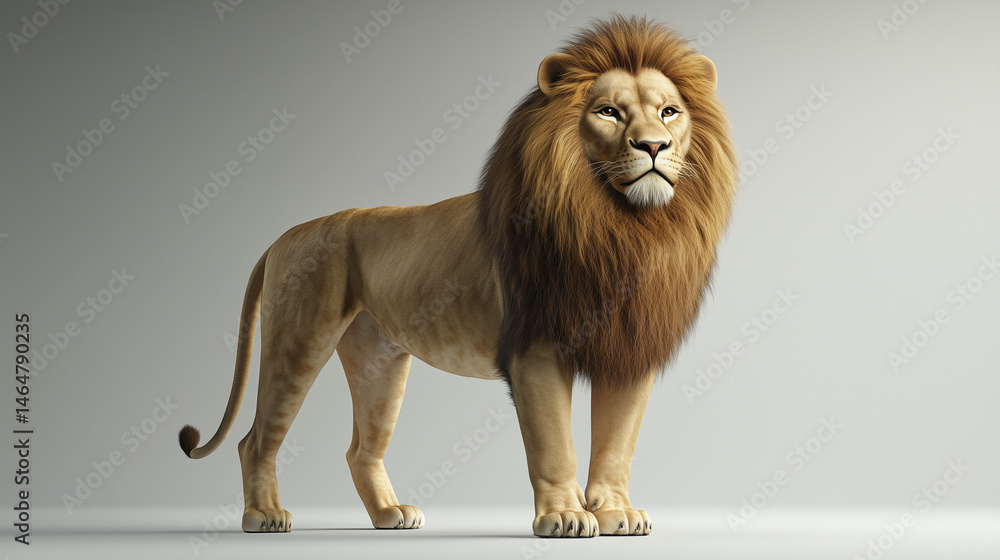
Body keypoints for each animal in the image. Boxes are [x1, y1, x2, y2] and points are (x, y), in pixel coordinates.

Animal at [179, 16, 737, 537]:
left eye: (669, 112)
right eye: (608, 112)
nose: (654, 146)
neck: (621, 226)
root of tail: (284, 236)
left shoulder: (629, 348)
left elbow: (618, 443)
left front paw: (616, 512)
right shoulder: (535, 349)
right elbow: (555, 445)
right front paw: (565, 515)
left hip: (379, 360)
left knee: (360, 449)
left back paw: (390, 514)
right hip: (298, 339)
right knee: (256, 440)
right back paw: (264, 515)